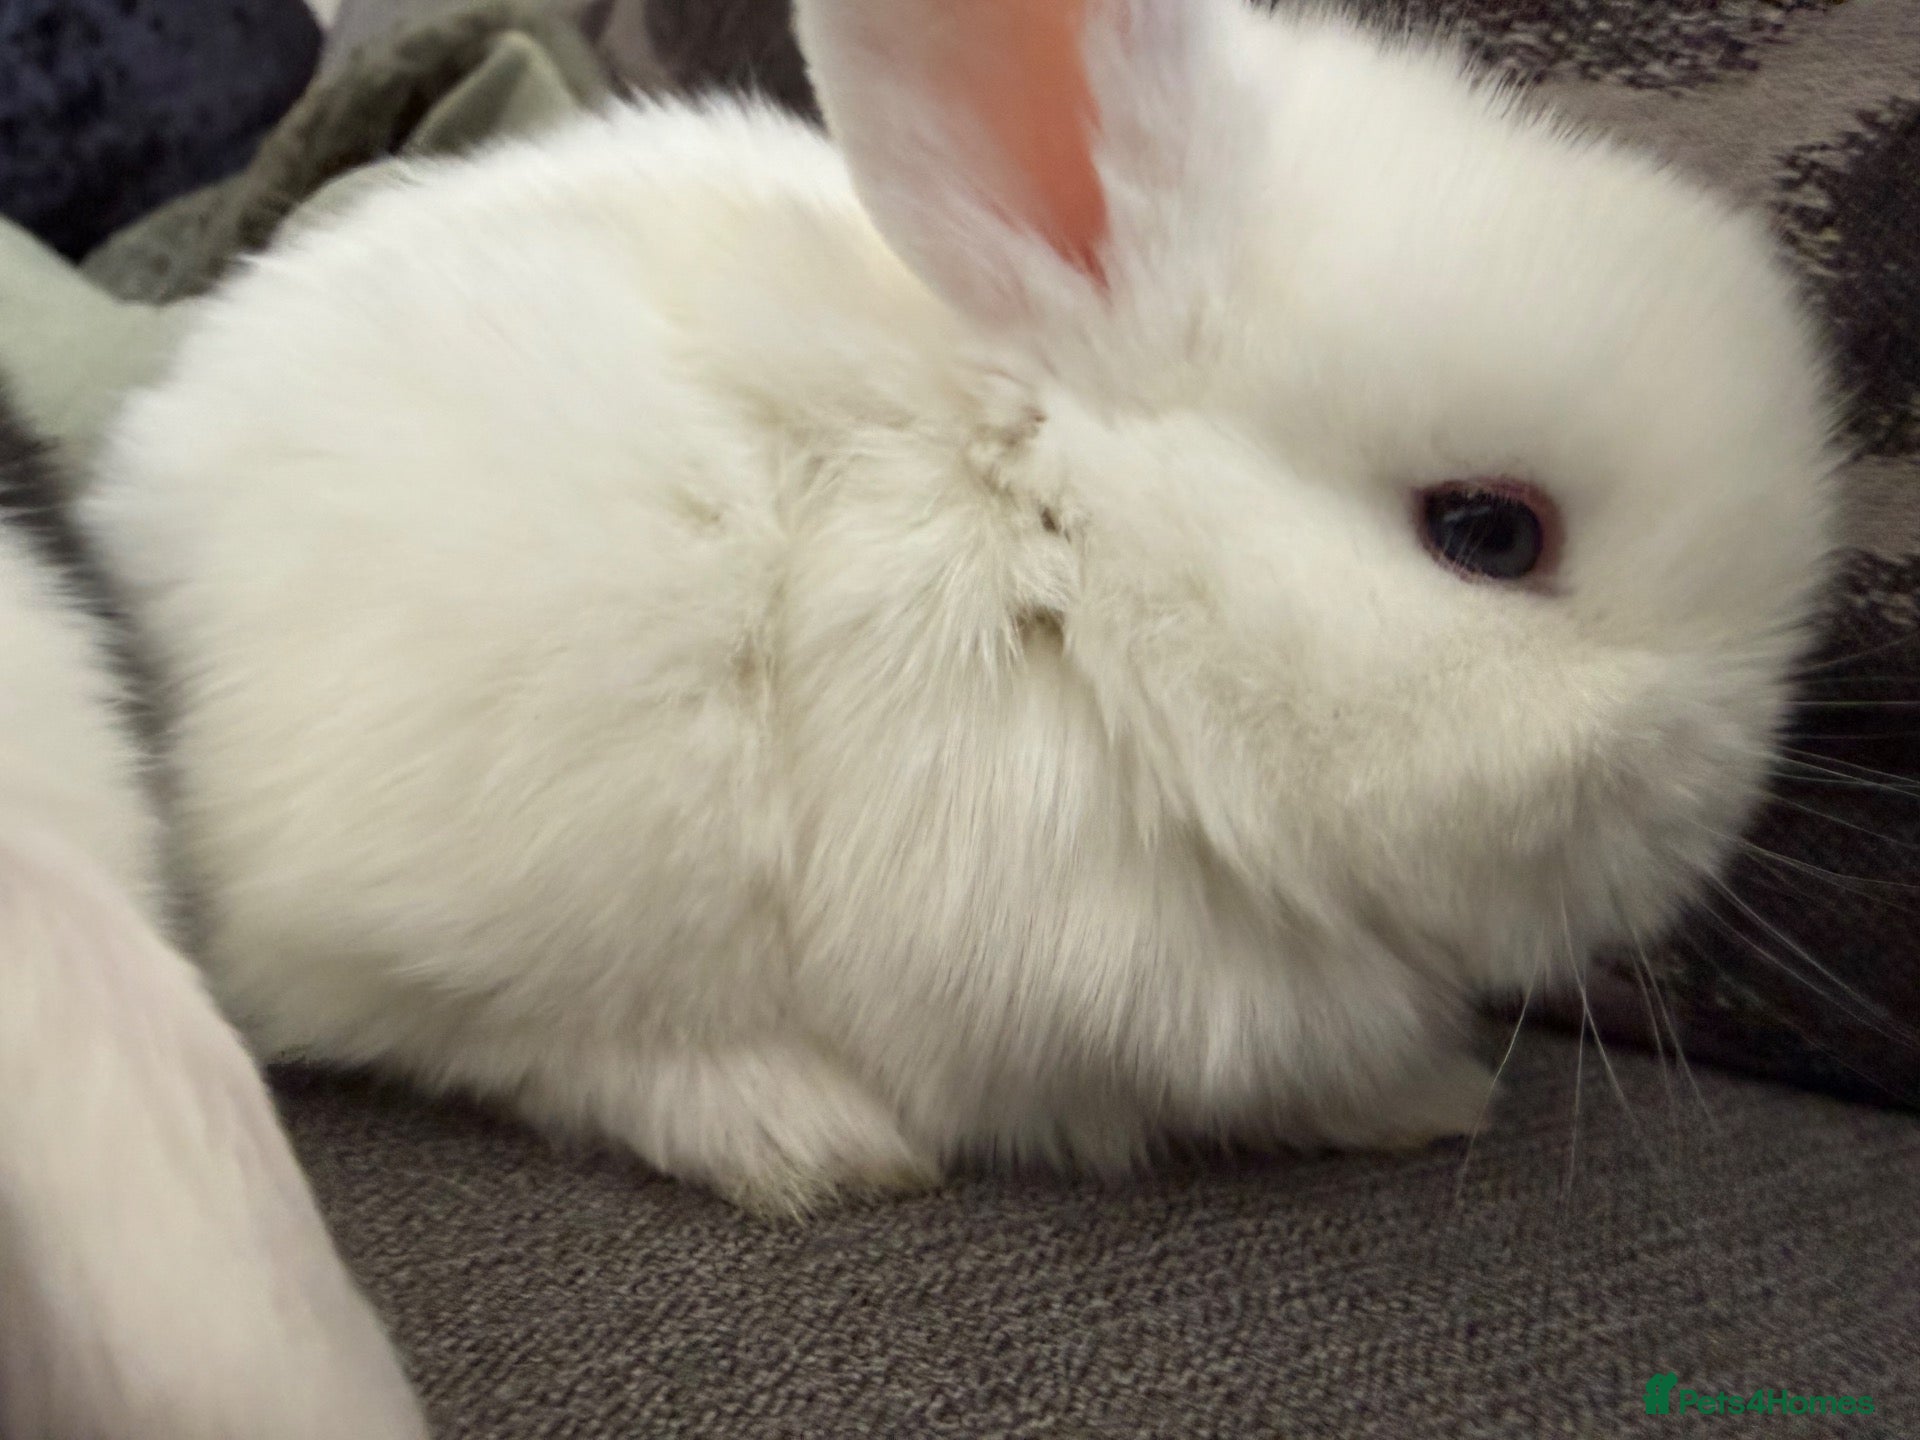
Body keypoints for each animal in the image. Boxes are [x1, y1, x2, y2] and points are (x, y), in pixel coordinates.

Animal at [81, 0, 1837, 1216]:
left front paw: (1430, 1095)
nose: (1730, 797)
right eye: (1488, 533)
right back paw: (802, 1136)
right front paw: (1434, 1094)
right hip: (545, 842)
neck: (1073, 551)